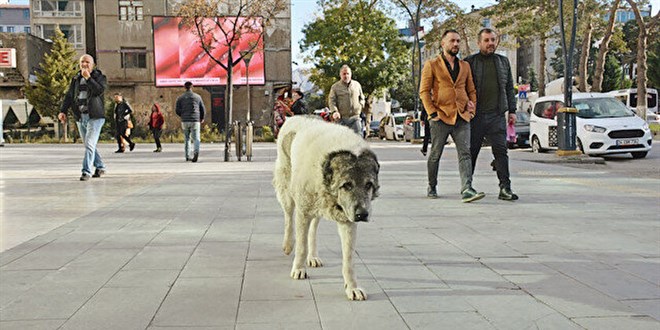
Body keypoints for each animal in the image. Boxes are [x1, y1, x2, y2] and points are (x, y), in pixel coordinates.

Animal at [274, 115, 378, 300]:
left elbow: (348, 259)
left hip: (317, 209)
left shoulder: (348, 222)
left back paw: (313, 256)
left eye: (368, 185)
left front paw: (352, 288)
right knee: (288, 217)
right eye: (347, 185)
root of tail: (294, 116)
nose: (362, 214)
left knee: (312, 230)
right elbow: (301, 246)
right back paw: (288, 245)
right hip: (287, 192)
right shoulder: (303, 211)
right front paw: (298, 269)